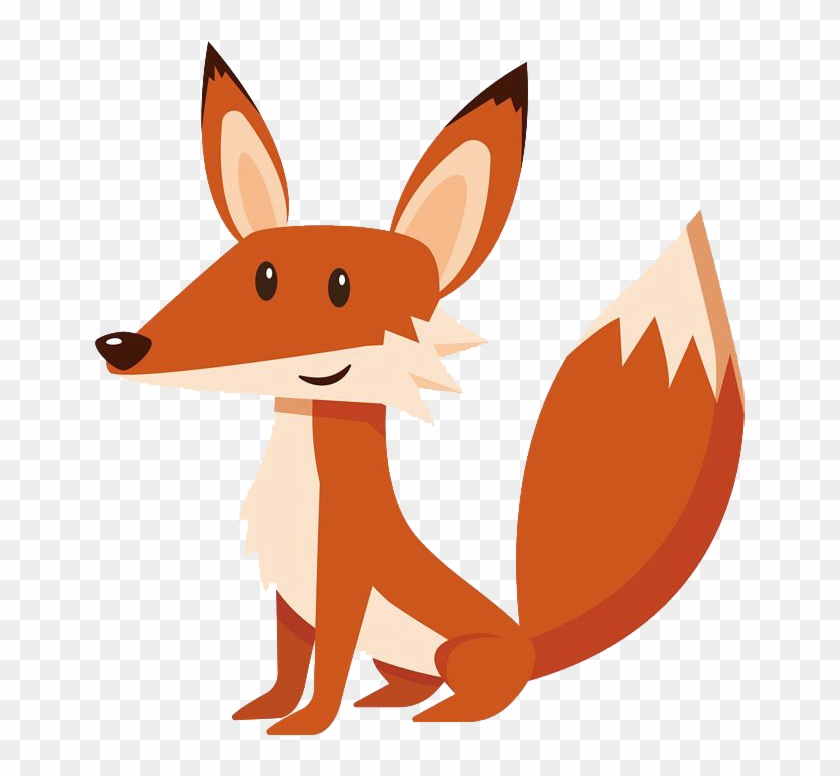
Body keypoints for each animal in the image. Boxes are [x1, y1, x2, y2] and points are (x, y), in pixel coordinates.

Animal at [96, 44, 745, 735]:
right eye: (241, 272)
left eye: (338, 287)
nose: (122, 345)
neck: (301, 485)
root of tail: (526, 642)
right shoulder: (292, 598)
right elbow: (289, 666)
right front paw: (267, 709)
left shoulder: (343, 582)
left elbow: (327, 669)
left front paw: (307, 725)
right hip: (398, 656)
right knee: (408, 680)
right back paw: (390, 700)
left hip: (458, 651)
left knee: (481, 692)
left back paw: (445, 714)